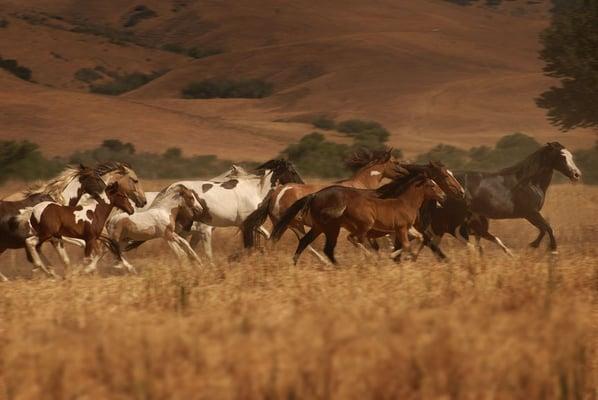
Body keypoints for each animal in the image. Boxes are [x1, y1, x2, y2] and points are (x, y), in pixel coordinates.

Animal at [274, 172, 450, 266]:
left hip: (319, 227)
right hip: (335, 228)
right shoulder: (399, 228)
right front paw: (400, 257)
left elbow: (418, 238)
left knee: (305, 241)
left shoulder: (404, 228)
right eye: (432, 184)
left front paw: (406, 257)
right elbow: (407, 243)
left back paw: (295, 263)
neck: (402, 200)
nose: (444, 196)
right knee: (332, 246)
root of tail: (315, 194)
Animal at [420, 142, 584, 258]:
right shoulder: (530, 213)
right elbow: (548, 228)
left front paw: (534, 247)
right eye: (562, 156)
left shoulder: (530, 215)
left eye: (571, 156)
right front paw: (548, 249)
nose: (577, 174)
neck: (529, 182)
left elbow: (544, 229)